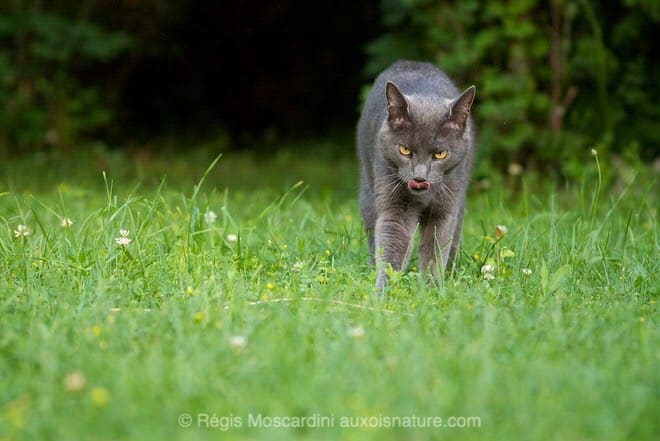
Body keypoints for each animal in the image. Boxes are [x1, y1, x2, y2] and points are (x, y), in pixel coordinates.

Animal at [356, 61, 474, 288]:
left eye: (440, 154)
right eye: (404, 150)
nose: (419, 177)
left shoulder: (446, 207)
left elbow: (436, 248)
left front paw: (431, 288)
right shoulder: (394, 203)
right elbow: (392, 242)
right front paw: (383, 289)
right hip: (368, 187)